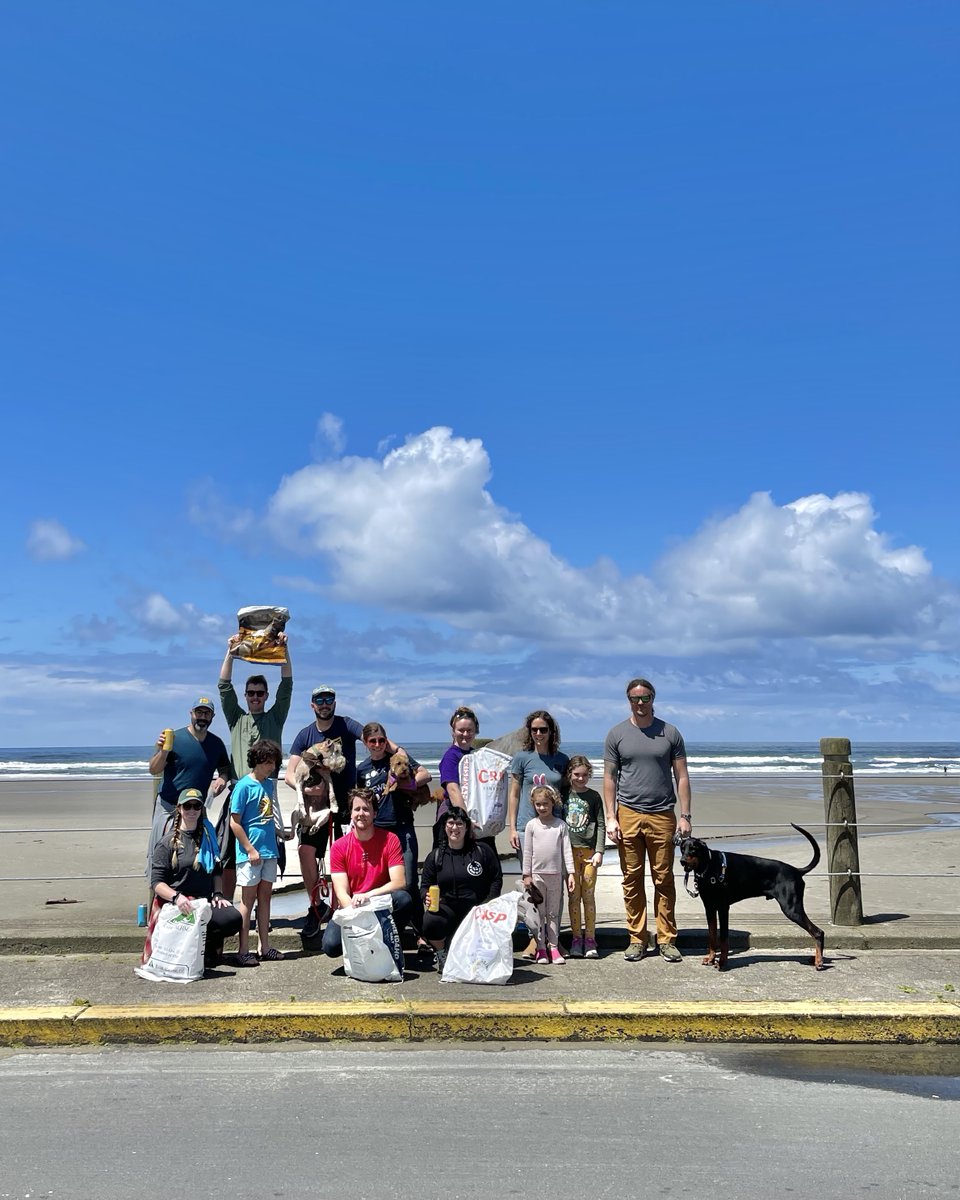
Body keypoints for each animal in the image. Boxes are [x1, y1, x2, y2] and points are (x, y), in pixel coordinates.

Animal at [676, 825, 825, 974]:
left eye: (693, 849)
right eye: (682, 848)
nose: (682, 861)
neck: (709, 866)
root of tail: (796, 870)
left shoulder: (723, 908)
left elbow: (723, 938)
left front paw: (722, 962)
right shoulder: (709, 908)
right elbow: (712, 935)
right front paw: (711, 958)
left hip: (791, 908)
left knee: (818, 932)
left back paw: (819, 961)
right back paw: (815, 959)